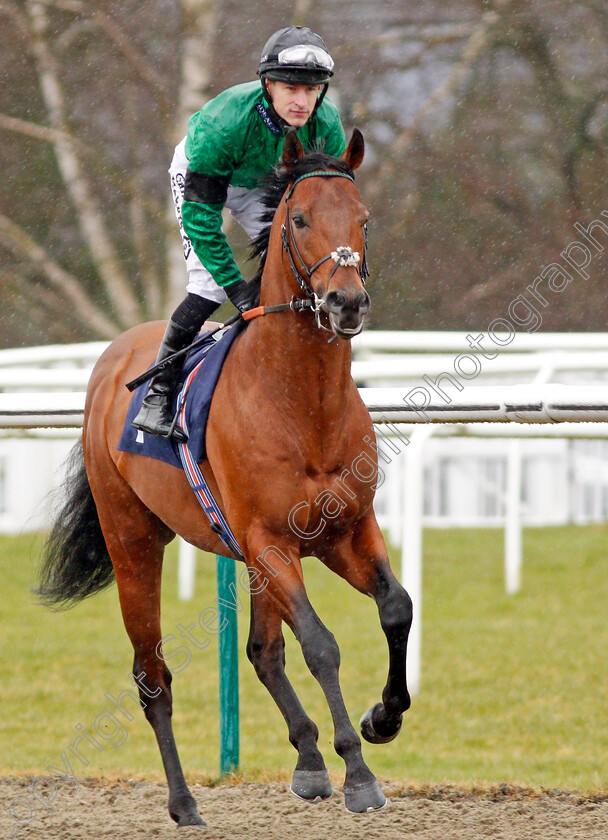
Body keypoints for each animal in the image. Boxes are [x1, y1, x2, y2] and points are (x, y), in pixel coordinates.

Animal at [38, 130, 414, 828]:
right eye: (300, 219)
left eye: (364, 219)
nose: (346, 302)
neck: (303, 404)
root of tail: (109, 362)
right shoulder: (269, 540)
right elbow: (321, 644)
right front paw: (358, 773)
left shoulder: (343, 531)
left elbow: (396, 608)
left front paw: (382, 718)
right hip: (134, 544)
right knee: (152, 677)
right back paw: (185, 802)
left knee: (263, 652)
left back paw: (308, 761)